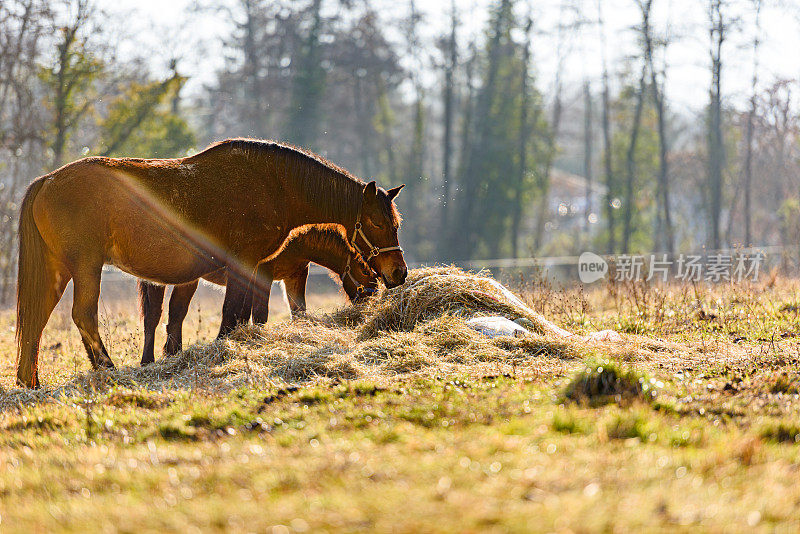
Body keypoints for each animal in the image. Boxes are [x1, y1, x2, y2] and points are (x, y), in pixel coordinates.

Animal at [138, 224, 378, 366]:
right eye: (366, 271)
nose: (372, 299)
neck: (295, 242)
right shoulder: (263, 275)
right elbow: (260, 314)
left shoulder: (295, 276)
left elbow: (296, 312)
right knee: (156, 317)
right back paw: (149, 360)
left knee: (173, 315)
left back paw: (172, 354)